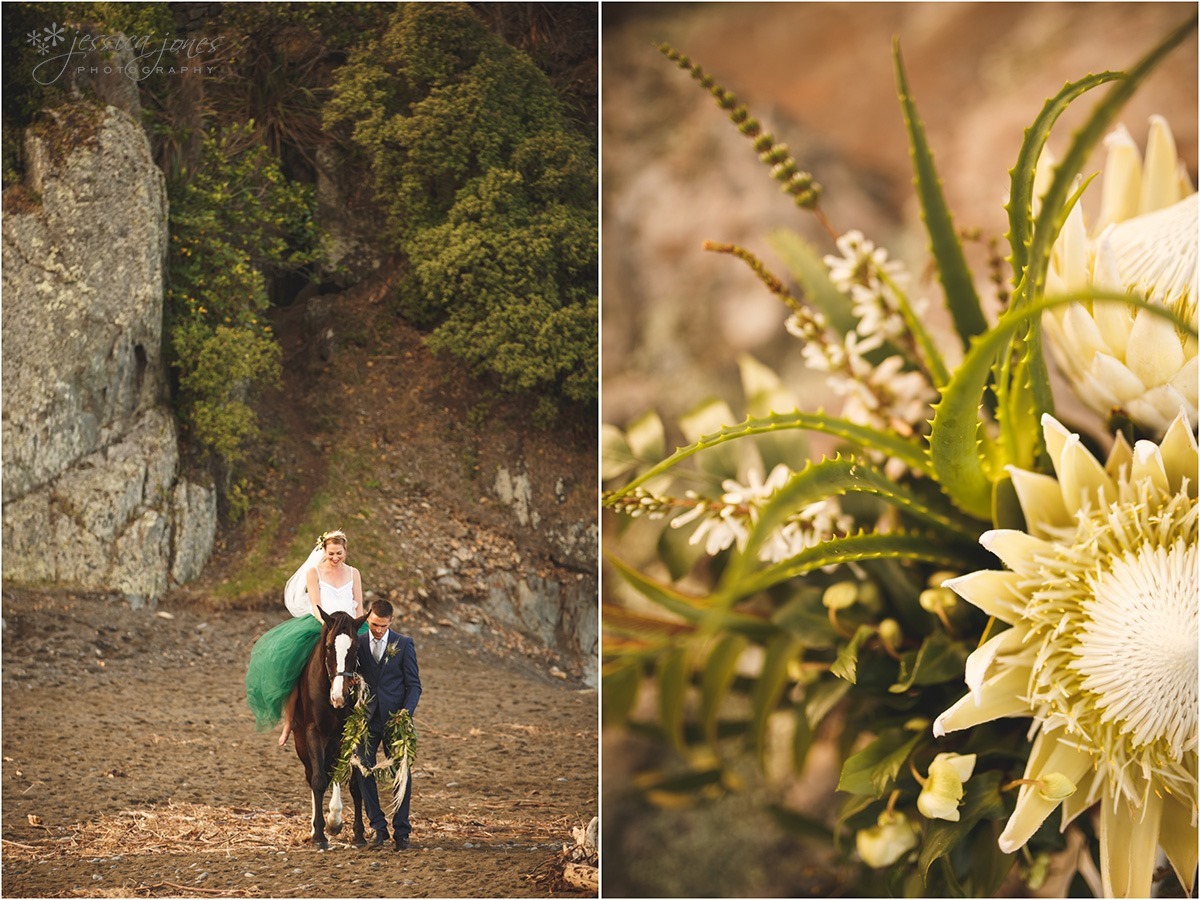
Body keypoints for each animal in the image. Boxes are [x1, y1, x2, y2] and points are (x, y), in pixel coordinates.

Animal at [290, 609, 364, 849]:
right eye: (330, 646)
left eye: (356, 648)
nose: (339, 697)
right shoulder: (314, 732)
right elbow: (319, 780)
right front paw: (320, 835)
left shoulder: (349, 734)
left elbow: (352, 781)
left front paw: (355, 832)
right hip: (301, 740)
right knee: (313, 774)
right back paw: (316, 827)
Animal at [355, 600, 422, 854]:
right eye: (374, 625)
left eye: (382, 626)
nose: (378, 632)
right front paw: (378, 831)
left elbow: (413, 683)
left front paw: (402, 835)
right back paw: (379, 833)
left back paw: (401, 835)